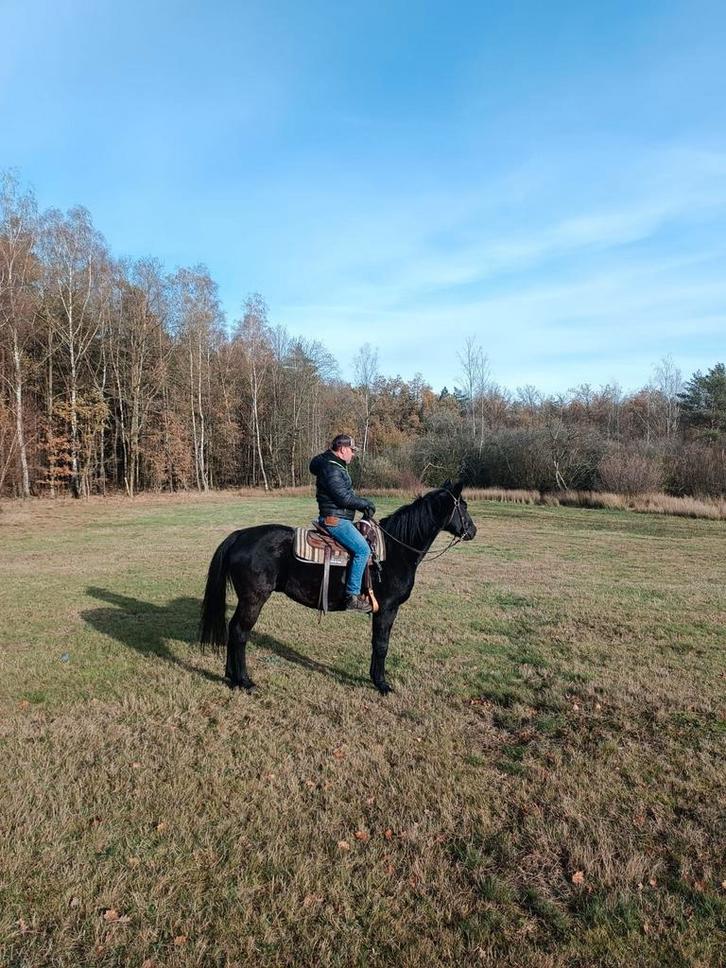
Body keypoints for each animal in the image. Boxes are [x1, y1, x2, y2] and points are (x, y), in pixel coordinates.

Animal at [199, 480, 477, 694]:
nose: (473, 531)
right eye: (462, 507)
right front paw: (382, 684)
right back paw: (244, 681)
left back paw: (230, 676)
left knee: (233, 629)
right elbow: (381, 645)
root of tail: (239, 535)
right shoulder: (387, 608)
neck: (396, 549)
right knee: (239, 633)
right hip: (254, 599)